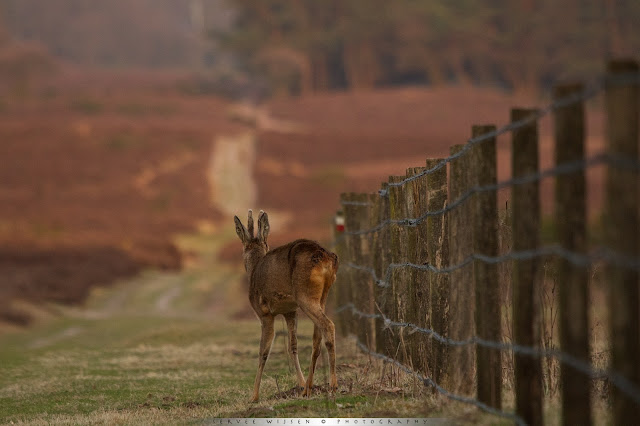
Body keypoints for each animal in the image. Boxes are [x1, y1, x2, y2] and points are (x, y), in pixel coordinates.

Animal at [232, 211, 338, 402]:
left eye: (243, 247)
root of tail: (326, 257)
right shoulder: (290, 311)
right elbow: (292, 346)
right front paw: (301, 384)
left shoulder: (264, 313)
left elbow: (263, 352)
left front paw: (254, 396)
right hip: (322, 296)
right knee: (317, 337)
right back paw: (308, 388)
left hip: (304, 295)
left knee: (328, 325)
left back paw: (333, 386)